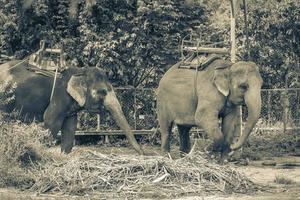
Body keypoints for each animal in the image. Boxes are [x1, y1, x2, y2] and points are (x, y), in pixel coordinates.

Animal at [0, 60, 144, 154]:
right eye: (102, 92)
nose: (142, 153)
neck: (81, 71)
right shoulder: (60, 96)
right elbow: (50, 121)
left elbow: (70, 127)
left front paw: (64, 156)